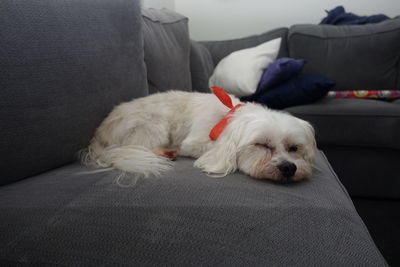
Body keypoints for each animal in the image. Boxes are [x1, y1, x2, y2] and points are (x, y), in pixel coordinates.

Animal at [82, 87, 316, 183]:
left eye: (294, 148)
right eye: (262, 145)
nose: (289, 167)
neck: (228, 116)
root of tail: (98, 135)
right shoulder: (193, 143)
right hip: (153, 125)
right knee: (140, 146)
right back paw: (164, 152)